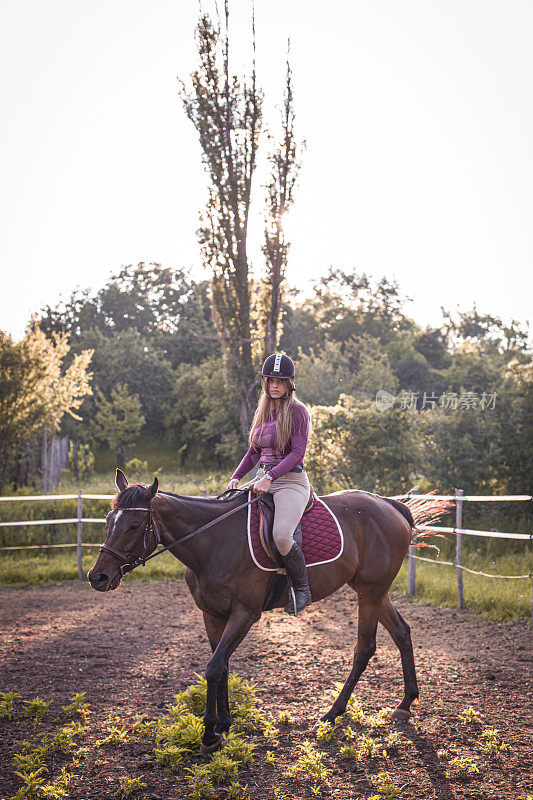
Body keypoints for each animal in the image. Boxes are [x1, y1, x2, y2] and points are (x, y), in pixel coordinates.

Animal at [88, 466, 432, 752]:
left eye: (134, 526)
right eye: (107, 521)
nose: (97, 577)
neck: (212, 541)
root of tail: (390, 506)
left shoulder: (245, 614)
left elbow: (214, 667)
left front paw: (209, 735)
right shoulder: (212, 614)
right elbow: (223, 666)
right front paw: (224, 724)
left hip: (370, 593)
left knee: (365, 648)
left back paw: (332, 713)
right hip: (371, 590)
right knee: (402, 632)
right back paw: (405, 704)